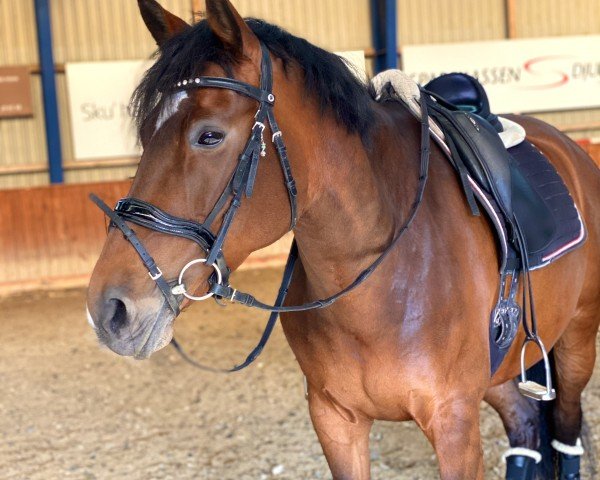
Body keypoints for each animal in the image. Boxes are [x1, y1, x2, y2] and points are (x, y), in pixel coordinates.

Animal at [84, 1, 600, 478]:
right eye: (144, 133)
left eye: (209, 136)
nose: (109, 310)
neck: (377, 277)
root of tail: (571, 149)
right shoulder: (335, 420)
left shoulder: (453, 424)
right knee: (526, 422)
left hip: (576, 340)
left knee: (565, 428)